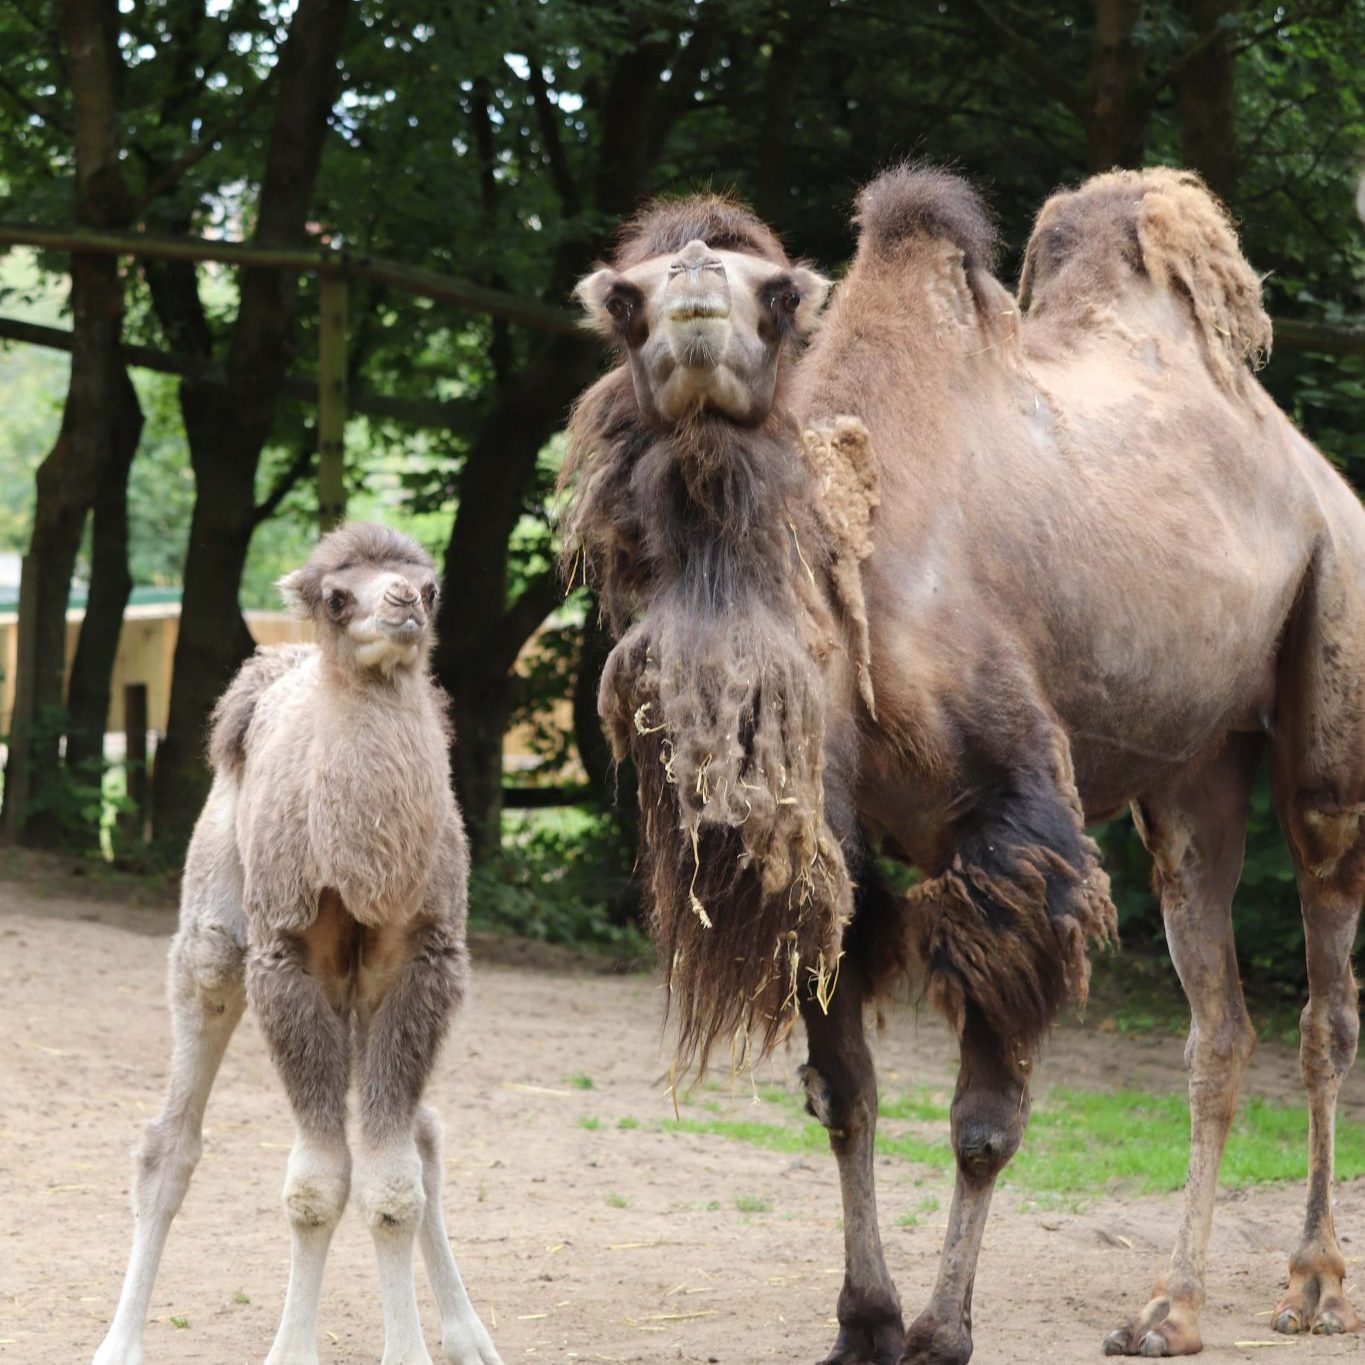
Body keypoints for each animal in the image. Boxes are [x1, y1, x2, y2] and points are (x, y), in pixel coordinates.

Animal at [94, 521, 502, 1365]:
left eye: (428, 585)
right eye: (337, 596)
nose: (403, 602)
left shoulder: (419, 961)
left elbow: (393, 1181)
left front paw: (415, 1347)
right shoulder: (287, 957)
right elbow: (317, 1186)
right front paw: (293, 1349)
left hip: (361, 994)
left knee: (423, 1138)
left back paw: (468, 1332)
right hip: (217, 926)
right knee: (168, 1141)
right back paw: (118, 1342)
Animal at [556, 173, 1365, 1365]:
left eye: (778, 293)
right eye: (625, 298)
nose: (696, 276)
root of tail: (1312, 468)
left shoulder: (1008, 823)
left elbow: (984, 1121)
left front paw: (941, 1329)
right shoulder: (832, 851)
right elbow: (843, 1095)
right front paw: (863, 1319)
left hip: (1328, 655)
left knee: (1324, 996)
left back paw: (1311, 1283)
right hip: (1195, 770)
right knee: (1218, 1023)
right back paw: (1168, 1307)